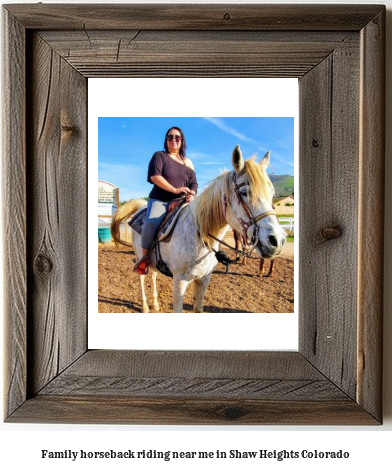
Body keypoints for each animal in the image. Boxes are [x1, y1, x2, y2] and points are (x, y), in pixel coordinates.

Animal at [109, 146, 284, 312]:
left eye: (272, 194)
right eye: (244, 192)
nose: (276, 241)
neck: (199, 236)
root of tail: (141, 207)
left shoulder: (204, 279)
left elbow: (198, 308)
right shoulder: (179, 281)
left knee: (152, 275)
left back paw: (155, 304)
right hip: (139, 256)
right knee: (142, 277)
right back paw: (145, 306)